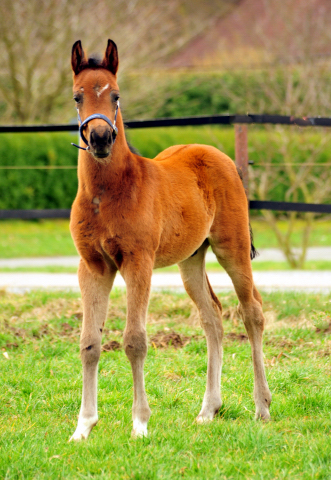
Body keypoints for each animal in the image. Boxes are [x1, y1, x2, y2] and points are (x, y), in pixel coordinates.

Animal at [68, 39, 272, 440]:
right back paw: (208, 410)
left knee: (252, 311)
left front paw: (140, 424)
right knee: (213, 317)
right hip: (190, 259)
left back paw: (262, 407)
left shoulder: (138, 262)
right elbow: (89, 343)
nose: (100, 139)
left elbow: (134, 340)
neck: (108, 193)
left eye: (116, 95)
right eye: (77, 97)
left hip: (233, 247)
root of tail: (220, 156)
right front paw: (83, 427)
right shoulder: (93, 266)